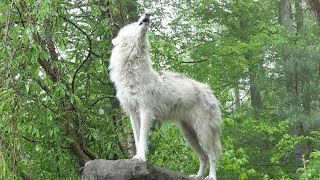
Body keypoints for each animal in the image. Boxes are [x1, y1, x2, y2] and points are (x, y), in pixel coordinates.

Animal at [109, 13, 221, 180]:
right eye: (133, 24)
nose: (147, 13)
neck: (133, 73)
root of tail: (210, 92)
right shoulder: (133, 113)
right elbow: (137, 139)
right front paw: (137, 157)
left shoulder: (146, 111)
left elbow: (142, 138)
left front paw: (141, 157)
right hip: (189, 135)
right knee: (204, 157)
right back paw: (197, 176)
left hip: (204, 132)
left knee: (212, 155)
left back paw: (211, 176)